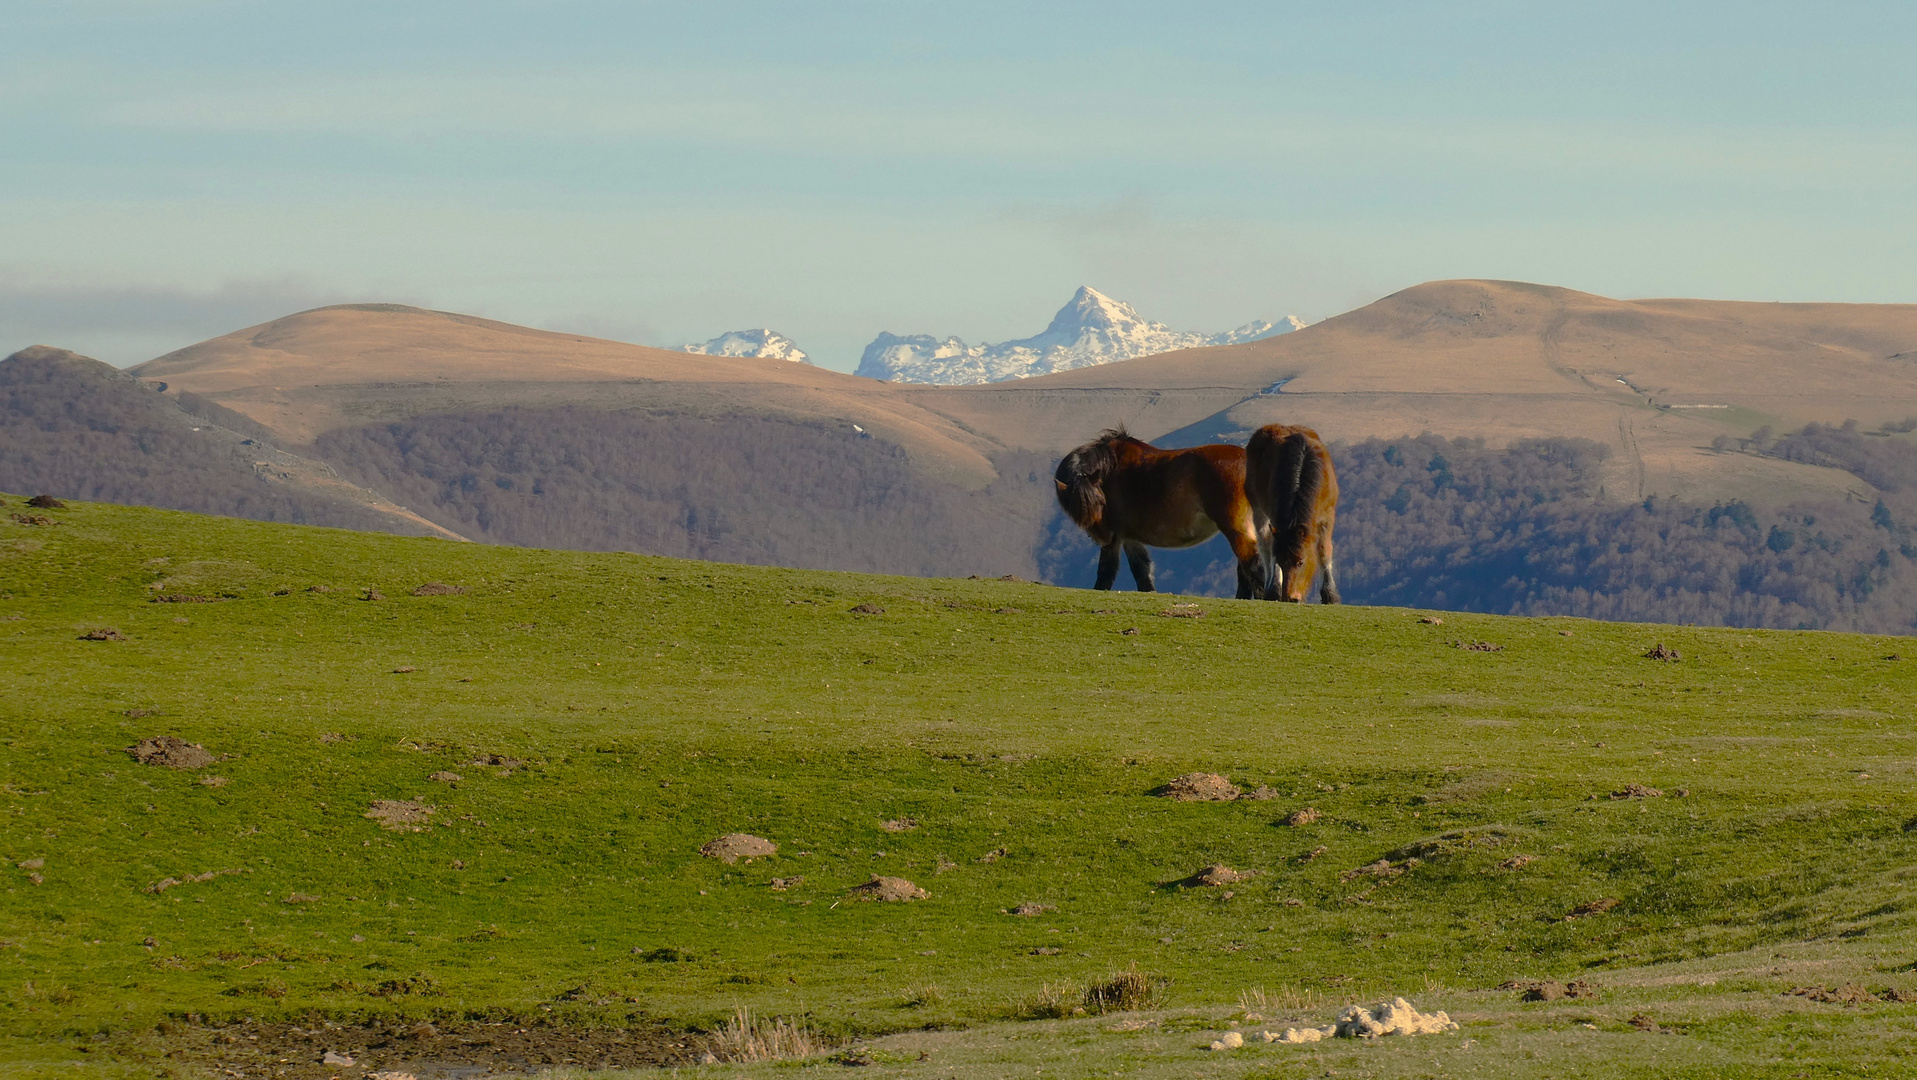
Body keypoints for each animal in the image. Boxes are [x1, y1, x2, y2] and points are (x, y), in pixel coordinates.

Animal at [1050, 429, 1272, 598]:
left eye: (1100, 502)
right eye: (1077, 509)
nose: (1102, 538)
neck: (1110, 469)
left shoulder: (1116, 537)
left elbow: (1107, 570)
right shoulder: (1128, 537)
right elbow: (1142, 569)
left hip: (1235, 528)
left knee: (1251, 565)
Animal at [1234, 422, 1341, 606]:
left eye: (1300, 562)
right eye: (1281, 562)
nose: (1290, 598)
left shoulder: (1327, 517)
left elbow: (1324, 551)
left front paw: (1330, 596)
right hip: (1259, 510)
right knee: (1265, 545)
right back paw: (1272, 589)